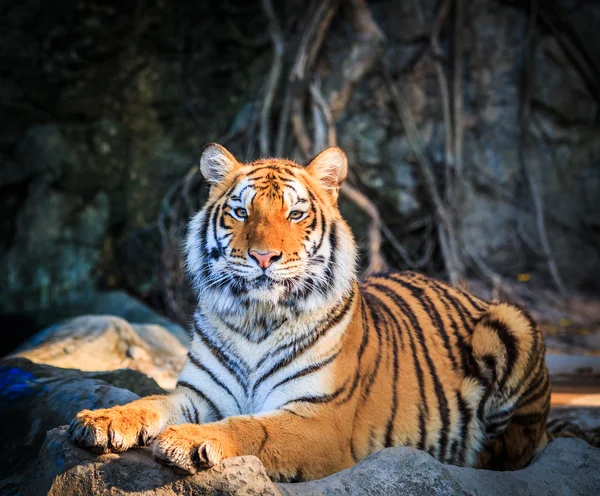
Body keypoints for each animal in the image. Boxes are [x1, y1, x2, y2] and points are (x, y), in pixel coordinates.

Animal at [68, 143, 552, 480]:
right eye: (240, 212)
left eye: (296, 214)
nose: (264, 257)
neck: (257, 319)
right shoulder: (200, 394)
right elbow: (150, 401)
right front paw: (101, 420)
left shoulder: (319, 419)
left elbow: (251, 428)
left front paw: (190, 441)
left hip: (510, 323)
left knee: (522, 443)